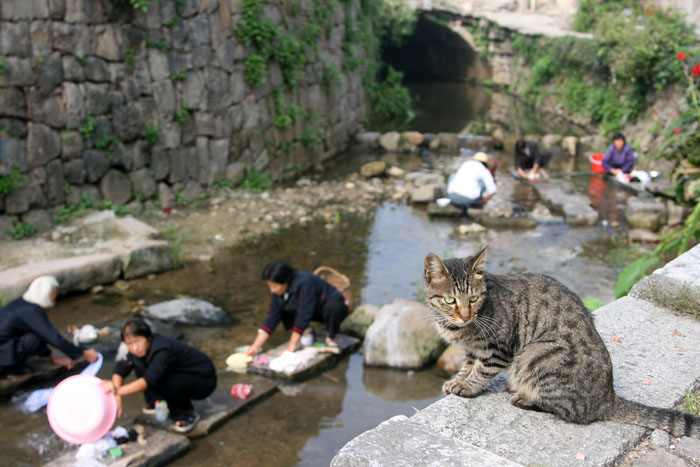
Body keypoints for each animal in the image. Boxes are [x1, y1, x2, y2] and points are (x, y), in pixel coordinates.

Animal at [423, 246, 700, 437]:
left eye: (474, 298)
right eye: (450, 300)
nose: (465, 315)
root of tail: (609, 397)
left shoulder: (498, 349)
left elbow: (480, 372)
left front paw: (467, 387)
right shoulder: (473, 350)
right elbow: (468, 366)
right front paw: (457, 381)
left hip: (535, 355)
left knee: (572, 412)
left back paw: (523, 397)